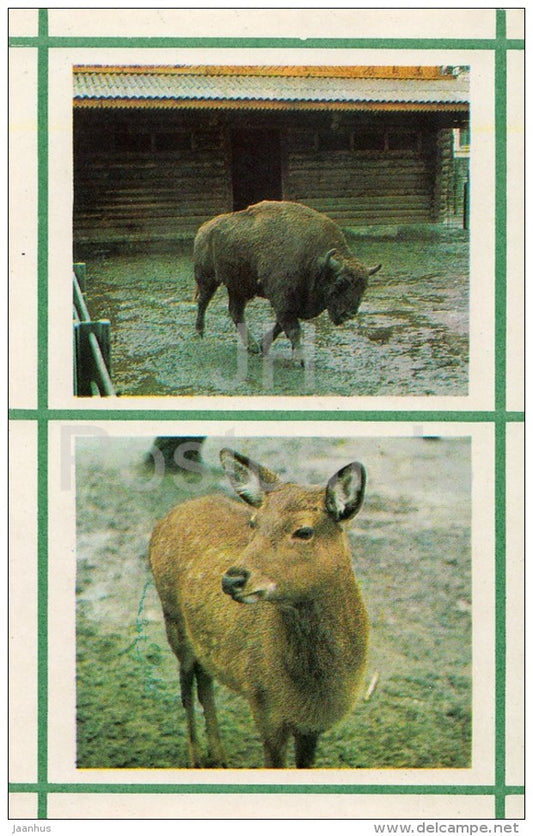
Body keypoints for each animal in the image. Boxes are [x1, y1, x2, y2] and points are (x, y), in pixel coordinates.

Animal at [148, 448, 369, 769]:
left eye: (304, 531)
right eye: (254, 523)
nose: (232, 579)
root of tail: (170, 514)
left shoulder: (313, 726)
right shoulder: (263, 705)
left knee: (205, 680)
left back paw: (220, 756)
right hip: (173, 619)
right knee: (186, 688)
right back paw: (196, 758)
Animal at [193, 200, 381, 363]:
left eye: (363, 287)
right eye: (340, 283)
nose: (349, 314)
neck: (316, 259)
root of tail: (204, 228)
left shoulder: (292, 304)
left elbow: (280, 327)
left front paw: (263, 346)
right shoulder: (283, 300)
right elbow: (293, 329)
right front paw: (301, 359)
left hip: (238, 287)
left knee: (236, 312)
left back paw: (252, 346)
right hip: (208, 279)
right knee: (203, 302)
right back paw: (200, 333)